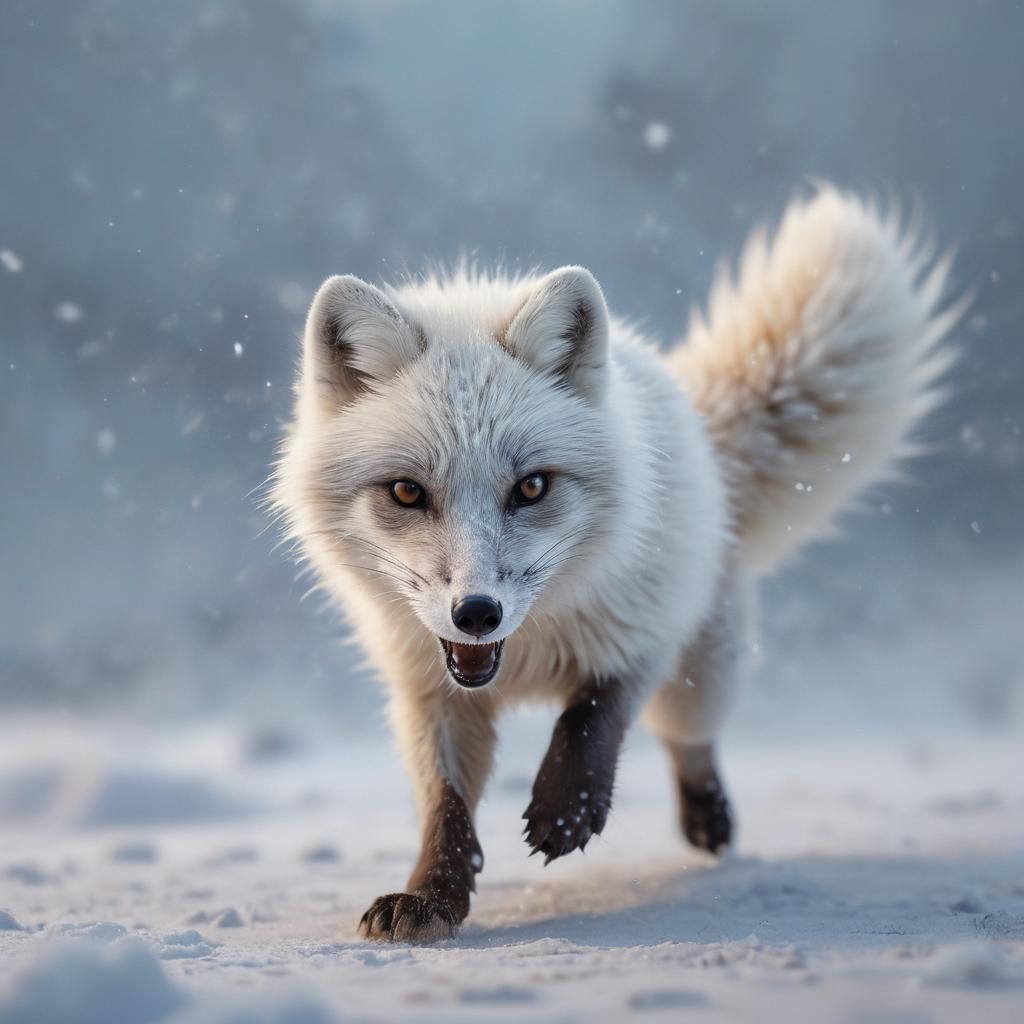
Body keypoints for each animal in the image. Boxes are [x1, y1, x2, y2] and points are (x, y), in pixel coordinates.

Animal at [272, 185, 961, 943]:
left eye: (532, 487)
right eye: (405, 493)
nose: (477, 614)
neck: (525, 654)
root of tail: (698, 428)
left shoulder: (641, 631)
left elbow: (593, 718)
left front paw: (567, 810)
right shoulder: (428, 687)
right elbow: (445, 806)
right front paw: (430, 897)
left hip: (702, 674)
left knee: (690, 740)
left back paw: (707, 818)